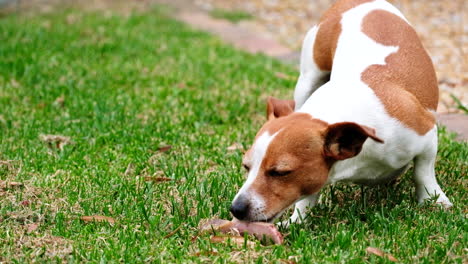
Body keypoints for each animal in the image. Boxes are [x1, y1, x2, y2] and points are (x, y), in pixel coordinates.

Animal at [231, 0, 454, 225]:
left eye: (280, 173)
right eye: (246, 166)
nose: (236, 209)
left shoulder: (426, 135)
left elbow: (423, 172)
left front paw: (434, 200)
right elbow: (307, 196)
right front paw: (297, 220)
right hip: (307, 80)